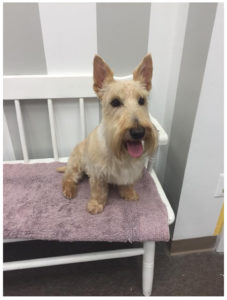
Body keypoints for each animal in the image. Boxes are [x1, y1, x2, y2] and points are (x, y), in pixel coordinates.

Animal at [57, 54, 158, 213]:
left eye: (142, 100)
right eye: (115, 102)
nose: (138, 132)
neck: (121, 152)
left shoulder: (129, 172)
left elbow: (127, 184)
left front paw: (129, 193)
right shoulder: (98, 173)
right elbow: (99, 191)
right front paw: (96, 205)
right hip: (76, 163)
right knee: (68, 177)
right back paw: (69, 190)